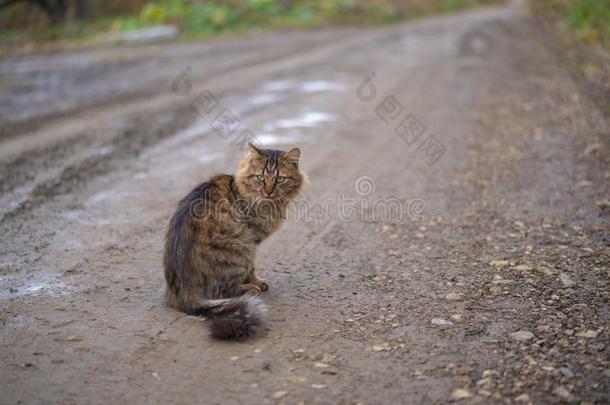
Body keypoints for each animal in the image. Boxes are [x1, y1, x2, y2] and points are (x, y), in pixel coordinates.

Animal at [163, 144, 302, 340]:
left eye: (280, 179)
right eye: (260, 178)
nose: (268, 192)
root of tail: (183, 293)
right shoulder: (251, 240)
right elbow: (251, 267)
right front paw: (256, 281)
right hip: (237, 249)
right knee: (223, 291)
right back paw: (249, 288)